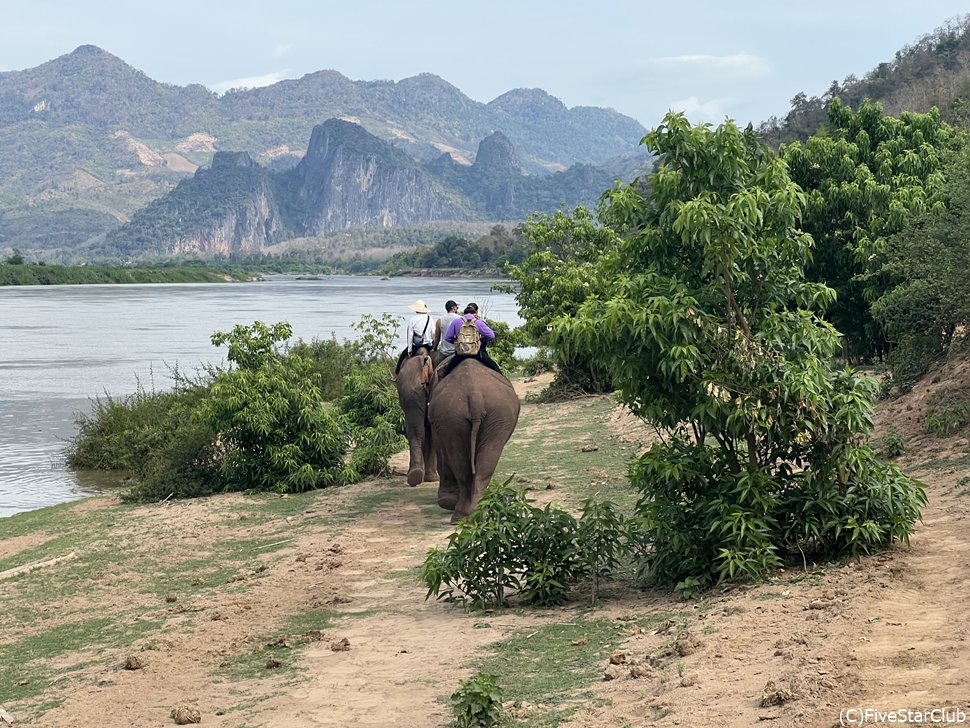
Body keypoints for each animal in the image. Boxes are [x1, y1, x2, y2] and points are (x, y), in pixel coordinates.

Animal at [428, 358, 520, 523]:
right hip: (474, 415)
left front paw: (448, 501)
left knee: (466, 460)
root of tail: (474, 395)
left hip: (468, 415)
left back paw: (466, 514)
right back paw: (472, 513)